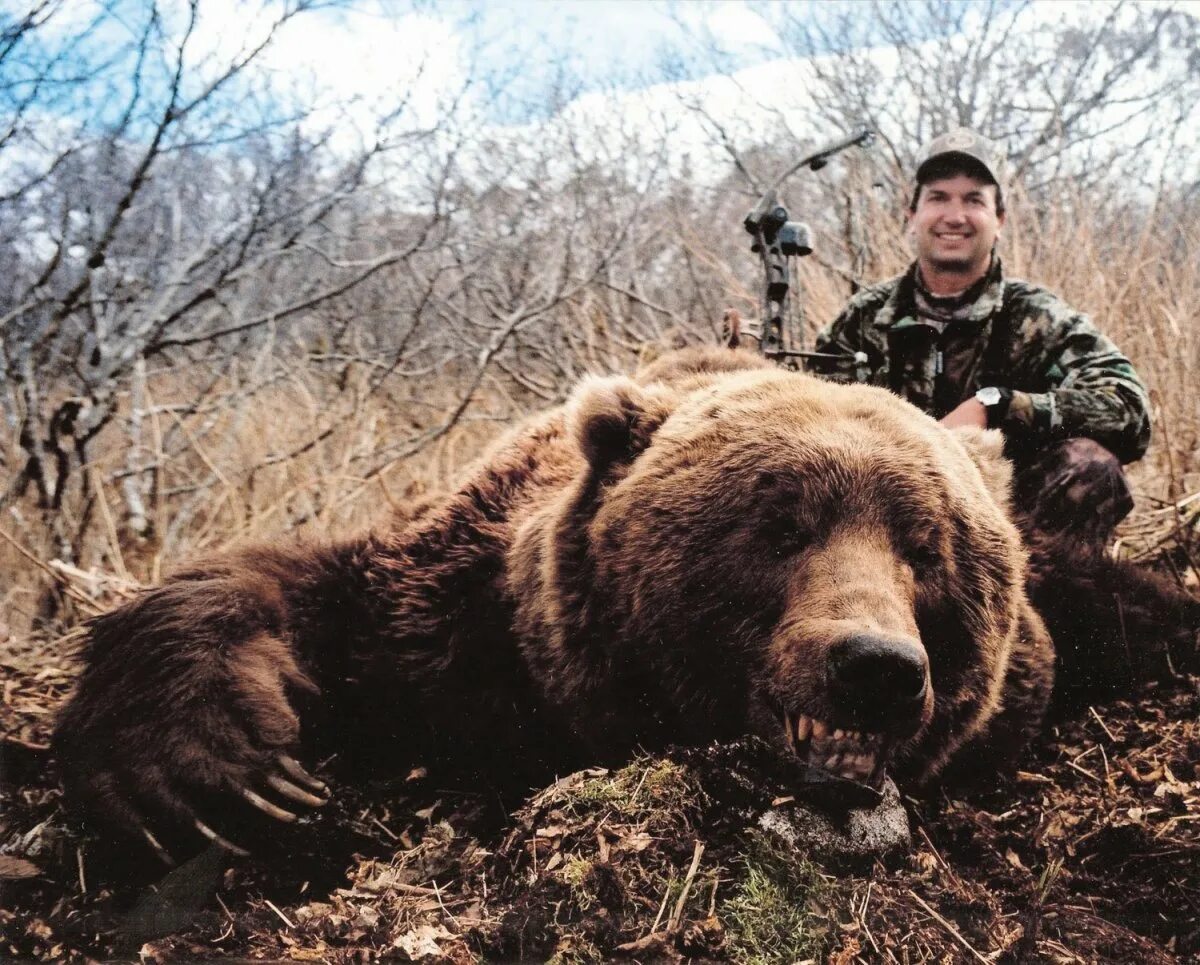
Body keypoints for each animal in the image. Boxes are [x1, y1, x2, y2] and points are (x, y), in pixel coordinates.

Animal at [56, 348, 1051, 868]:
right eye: (780, 526)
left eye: (926, 548)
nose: (875, 666)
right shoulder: (448, 605)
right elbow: (295, 589)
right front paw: (220, 775)